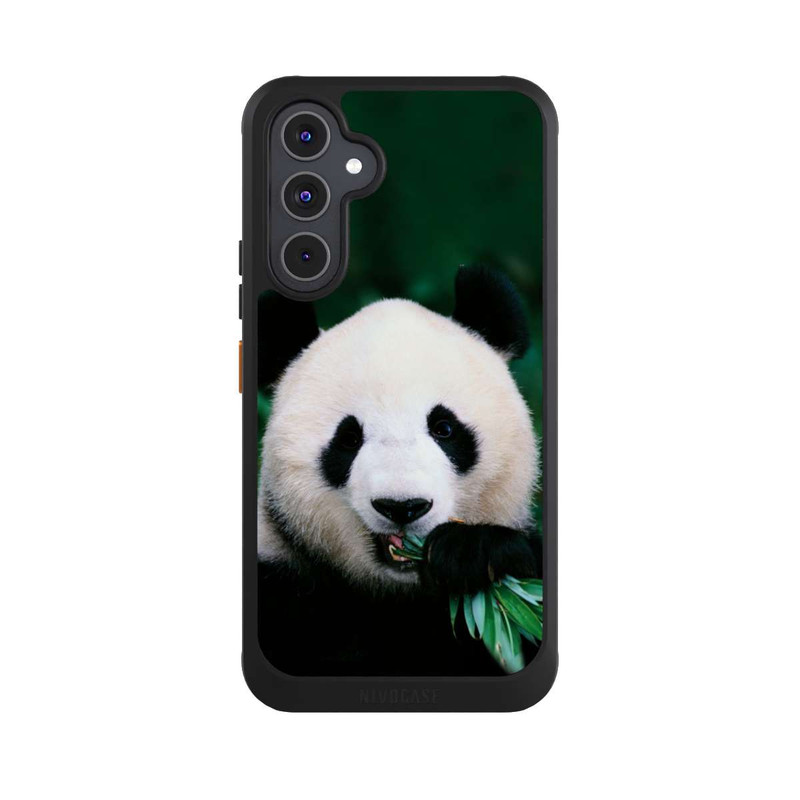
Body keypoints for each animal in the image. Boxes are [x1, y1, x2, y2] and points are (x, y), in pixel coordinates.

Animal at [257, 266, 541, 676]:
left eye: (444, 428)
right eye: (348, 439)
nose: (402, 506)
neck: (397, 595)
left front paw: (472, 552)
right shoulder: (282, 582)